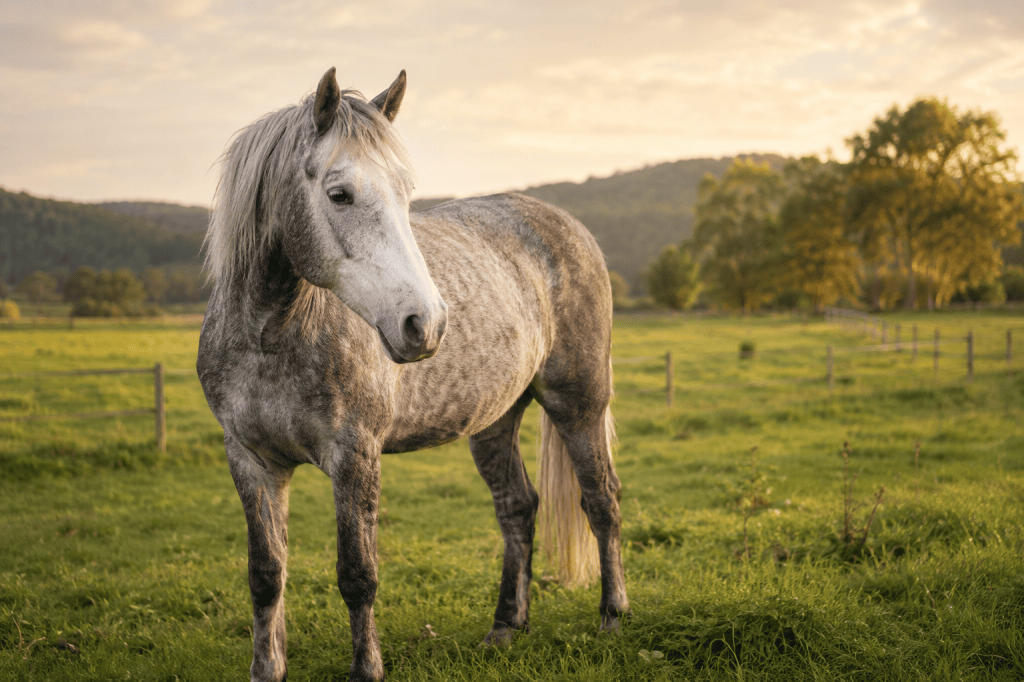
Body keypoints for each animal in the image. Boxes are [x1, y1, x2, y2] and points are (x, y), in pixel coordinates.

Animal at [197, 67, 629, 682]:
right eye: (339, 193)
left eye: (406, 194)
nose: (426, 323)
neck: (271, 335)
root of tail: (567, 225)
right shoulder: (252, 460)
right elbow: (266, 575)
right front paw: (267, 667)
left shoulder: (354, 455)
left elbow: (358, 575)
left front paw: (367, 669)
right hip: (495, 421)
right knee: (517, 507)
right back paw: (505, 627)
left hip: (580, 404)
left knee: (601, 501)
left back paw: (613, 617)